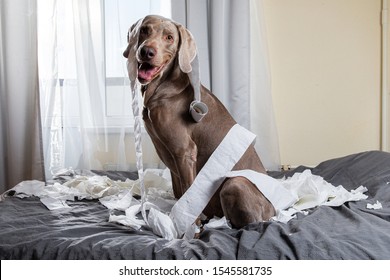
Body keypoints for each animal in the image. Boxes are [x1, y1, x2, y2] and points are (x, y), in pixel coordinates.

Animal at [122, 14, 274, 230]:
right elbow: (179, 192)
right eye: (144, 30)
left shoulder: (185, 151)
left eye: (169, 37)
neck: (161, 87)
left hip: (234, 184)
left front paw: (190, 229)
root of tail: (275, 211)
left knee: (249, 224)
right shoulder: (173, 157)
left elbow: (188, 192)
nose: (146, 51)